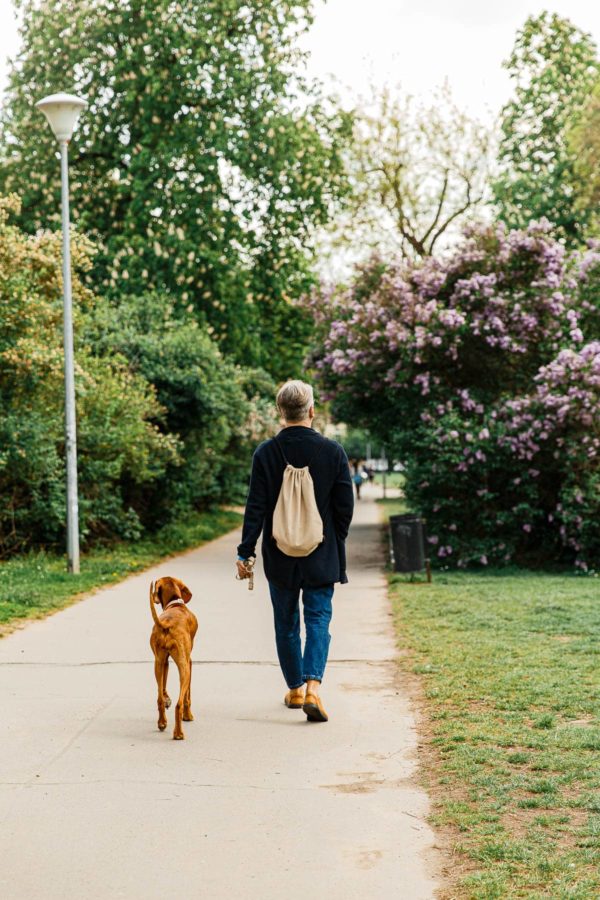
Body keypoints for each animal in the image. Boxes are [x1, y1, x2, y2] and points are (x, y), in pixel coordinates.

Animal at [149, 576, 198, 740]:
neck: (175, 604)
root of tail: (166, 624)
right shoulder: (189, 662)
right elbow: (188, 695)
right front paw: (188, 716)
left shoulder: (164, 661)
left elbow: (163, 687)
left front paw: (166, 699)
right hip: (184, 668)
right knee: (179, 703)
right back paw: (178, 733)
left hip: (157, 663)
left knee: (158, 699)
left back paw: (162, 723)